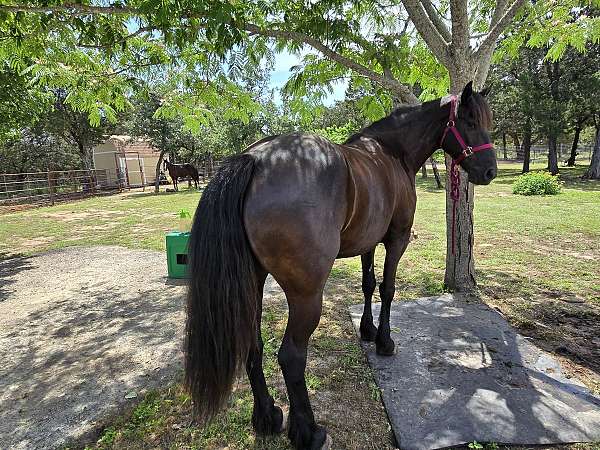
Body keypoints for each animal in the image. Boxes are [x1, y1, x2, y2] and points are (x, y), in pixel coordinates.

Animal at [186, 82, 496, 448]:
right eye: (471, 122)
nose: (490, 171)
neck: (392, 153)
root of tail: (255, 159)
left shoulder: (368, 243)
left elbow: (368, 284)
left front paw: (367, 330)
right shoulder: (397, 239)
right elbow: (388, 289)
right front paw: (384, 341)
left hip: (254, 282)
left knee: (253, 345)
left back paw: (267, 417)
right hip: (306, 295)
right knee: (291, 357)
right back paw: (309, 432)